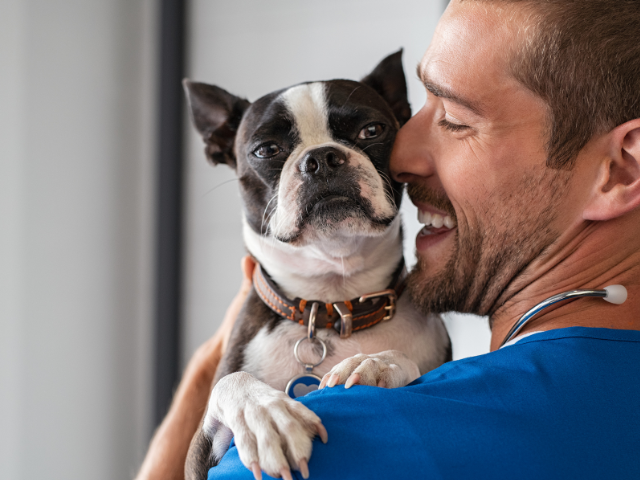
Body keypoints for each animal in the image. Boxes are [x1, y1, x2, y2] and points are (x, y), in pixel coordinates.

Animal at [182, 52, 452, 480]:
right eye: (266, 149)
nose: (322, 158)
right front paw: (266, 414)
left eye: (371, 130)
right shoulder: (196, 456)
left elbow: (403, 360)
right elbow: (232, 382)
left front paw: (376, 364)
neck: (331, 302)